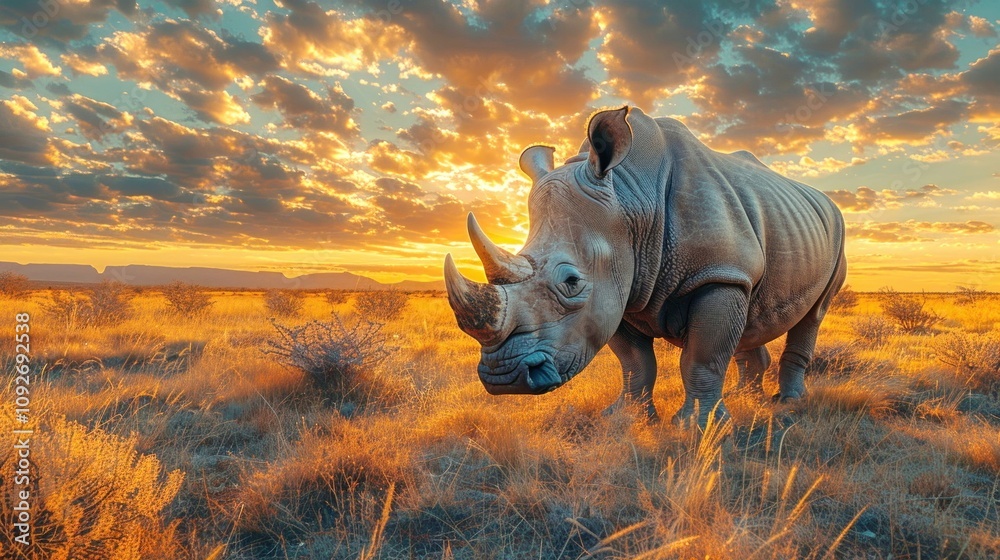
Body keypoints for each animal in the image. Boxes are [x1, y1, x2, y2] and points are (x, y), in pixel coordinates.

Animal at [444, 106, 847, 426]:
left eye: (571, 281)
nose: (503, 376)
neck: (630, 200)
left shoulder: (717, 274)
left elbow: (702, 358)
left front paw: (699, 427)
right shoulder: (623, 287)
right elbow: (636, 363)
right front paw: (627, 418)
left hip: (832, 232)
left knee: (813, 314)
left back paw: (788, 403)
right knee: (753, 311)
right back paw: (746, 398)